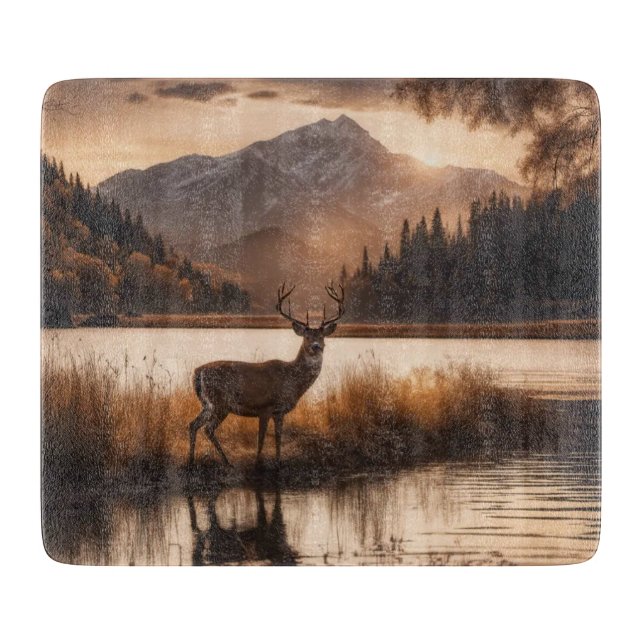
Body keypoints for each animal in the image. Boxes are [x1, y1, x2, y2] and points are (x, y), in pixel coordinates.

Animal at [188, 282, 345, 468]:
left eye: (322, 337)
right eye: (306, 337)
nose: (316, 346)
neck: (291, 380)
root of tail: (198, 372)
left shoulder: (279, 411)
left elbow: (278, 437)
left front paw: (278, 462)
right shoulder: (265, 407)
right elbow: (261, 439)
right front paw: (258, 463)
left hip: (208, 404)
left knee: (193, 425)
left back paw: (193, 461)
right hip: (220, 403)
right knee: (207, 428)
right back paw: (225, 461)